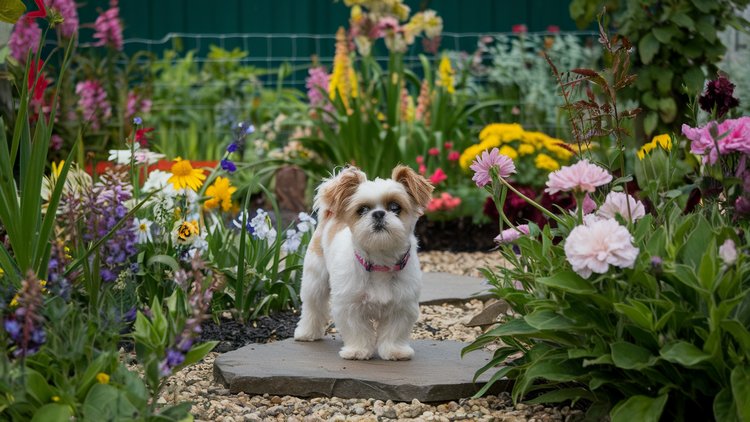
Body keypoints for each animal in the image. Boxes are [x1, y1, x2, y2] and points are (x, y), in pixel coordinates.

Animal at [294, 165, 434, 360]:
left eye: (395, 207)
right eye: (362, 209)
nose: (378, 213)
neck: (380, 263)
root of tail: (330, 216)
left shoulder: (402, 306)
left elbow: (394, 332)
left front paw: (394, 351)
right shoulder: (350, 305)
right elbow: (357, 330)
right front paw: (357, 351)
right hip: (314, 281)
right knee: (312, 307)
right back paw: (307, 333)